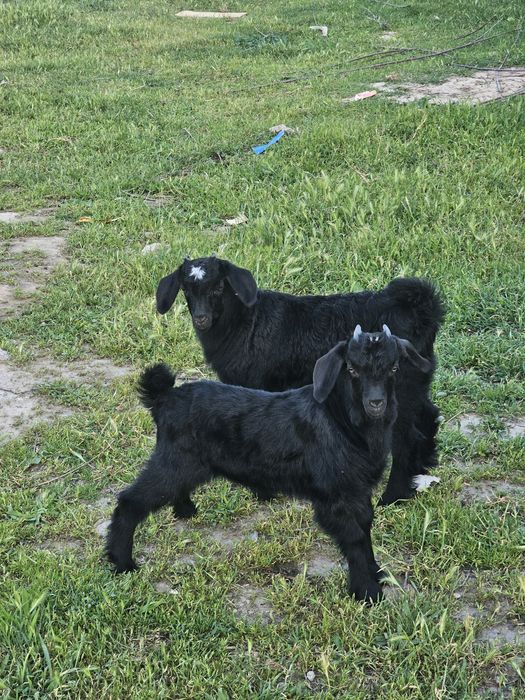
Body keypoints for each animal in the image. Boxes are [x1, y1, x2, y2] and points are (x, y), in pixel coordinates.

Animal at [106, 326, 432, 603]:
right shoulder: (336, 496)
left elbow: (365, 531)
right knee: (130, 501)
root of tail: (164, 398)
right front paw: (366, 592)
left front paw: (376, 574)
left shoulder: (358, 492)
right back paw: (122, 562)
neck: (341, 420)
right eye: (352, 369)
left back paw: (185, 510)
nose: (376, 403)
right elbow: (354, 538)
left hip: (185, 465)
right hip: (172, 463)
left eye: (393, 367)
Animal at [156, 257, 445, 505]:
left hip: (398, 386)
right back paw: (423, 467)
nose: (201, 319)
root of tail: (420, 310)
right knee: (428, 416)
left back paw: (393, 495)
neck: (245, 323)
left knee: (406, 437)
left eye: (218, 287)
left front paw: (263, 490)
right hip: (417, 380)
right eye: (186, 289)